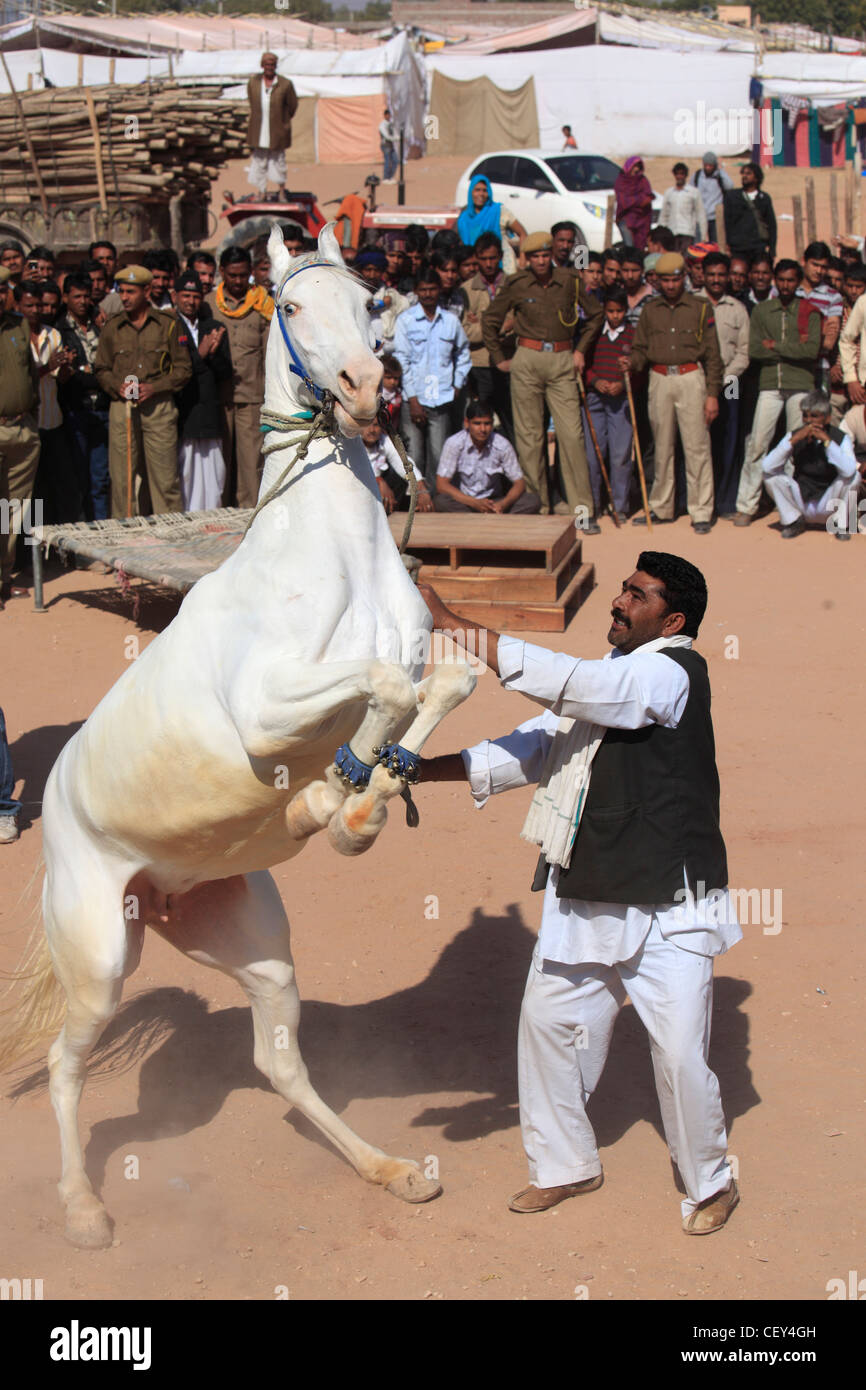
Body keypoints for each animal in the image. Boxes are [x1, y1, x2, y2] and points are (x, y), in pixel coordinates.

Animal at [1, 225, 475, 1251]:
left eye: (370, 298)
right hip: (101, 957)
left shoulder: (417, 663)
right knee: (62, 1064)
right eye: (290, 306)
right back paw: (85, 1211)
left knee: (279, 1063)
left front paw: (355, 805)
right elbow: (380, 690)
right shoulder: (265, 709)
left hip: (253, 946)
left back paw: (389, 1171)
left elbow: (442, 683)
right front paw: (333, 804)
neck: (332, 553)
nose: (365, 389)